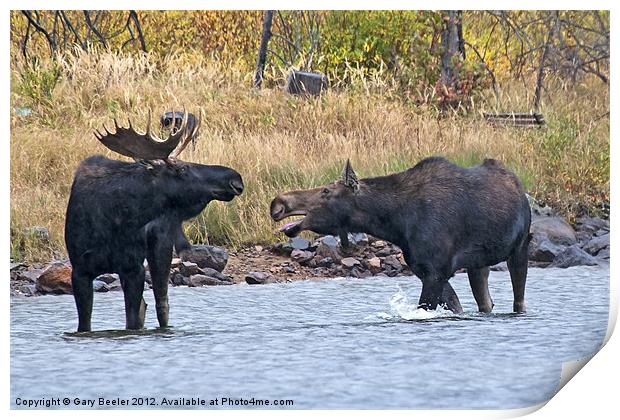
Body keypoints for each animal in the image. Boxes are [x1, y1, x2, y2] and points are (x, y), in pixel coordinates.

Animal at [65, 110, 245, 332]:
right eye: (182, 169)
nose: (235, 178)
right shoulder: (80, 271)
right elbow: (85, 324)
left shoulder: (133, 268)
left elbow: (133, 320)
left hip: (160, 248)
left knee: (162, 303)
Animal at [272, 158, 532, 316]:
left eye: (326, 191)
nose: (278, 203)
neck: (395, 224)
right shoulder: (425, 269)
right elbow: (455, 305)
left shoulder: (436, 271)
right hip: (477, 263)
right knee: (485, 301)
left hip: (520, 247)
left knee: (519, 299)